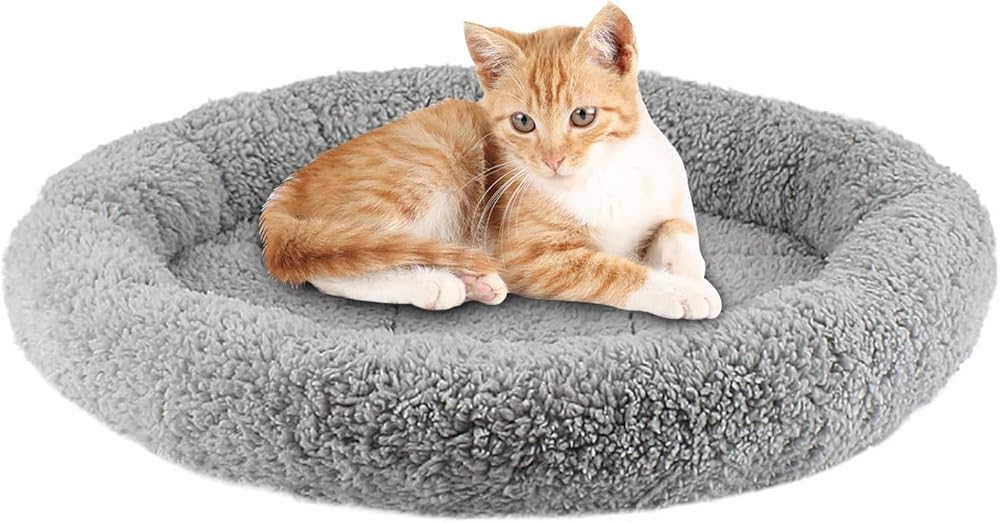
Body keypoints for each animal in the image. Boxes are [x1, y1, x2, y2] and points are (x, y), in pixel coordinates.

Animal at [259, 3, 722, 320]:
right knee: (335, 266)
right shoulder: (530, 259)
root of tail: (288, 190)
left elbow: (679, 229)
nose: (553, 160)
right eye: (523, 122)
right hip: (430, 165)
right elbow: (611, 271)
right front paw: (682, 292)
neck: (604, 175)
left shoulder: (669, 195)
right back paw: (436, 284)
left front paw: (688, 269)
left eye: (583, 116)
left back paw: (470, 280)